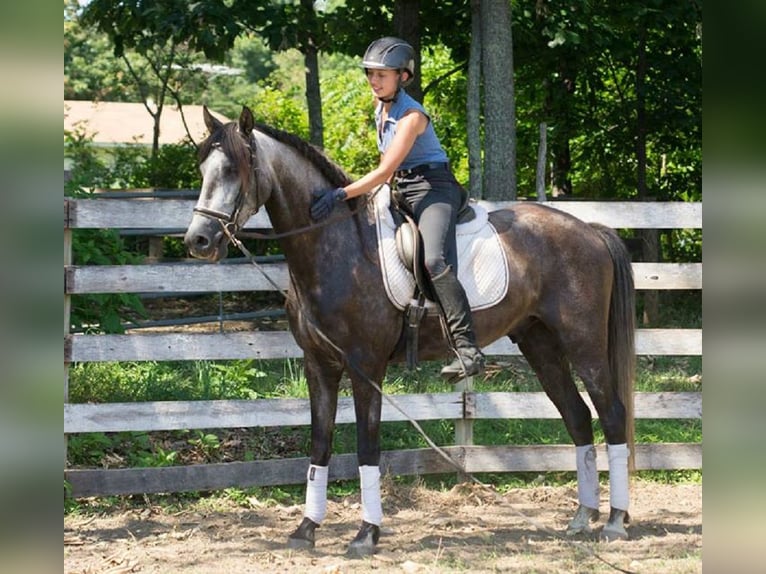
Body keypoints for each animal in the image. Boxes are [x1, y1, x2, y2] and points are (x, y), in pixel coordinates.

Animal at [183, 106, 640, 556]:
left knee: (612, 413)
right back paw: (582, 517)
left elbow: (367, 446)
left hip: (583, 343)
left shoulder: (365, 366)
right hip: (539, 342)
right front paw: (306, 529)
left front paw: (366, 534)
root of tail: (590, 231)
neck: (335, 247)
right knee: (577, 416)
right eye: (202, 167)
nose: (198, 241)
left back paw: (615, 522)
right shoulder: (319, 365)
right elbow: (320, 444)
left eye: (234, 169)